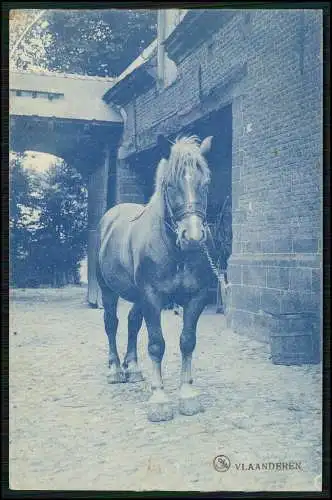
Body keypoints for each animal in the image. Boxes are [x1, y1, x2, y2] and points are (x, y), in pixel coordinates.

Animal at [94, 135, 217, 420]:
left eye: (205, 183)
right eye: (171, 184)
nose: (193, 238)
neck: (176, 253)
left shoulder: (196, 299)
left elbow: (187, 341)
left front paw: (187, 394)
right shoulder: (152, 298)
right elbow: (156, 344)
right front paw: (159, 399)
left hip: (137, 298)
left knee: (132, 323)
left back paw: (134, 369)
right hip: (108, 291)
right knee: (111, 324)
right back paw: (115, 370)